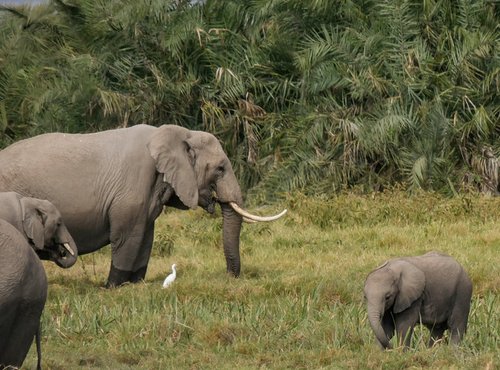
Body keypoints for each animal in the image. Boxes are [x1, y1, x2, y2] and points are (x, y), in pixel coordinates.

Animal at [0, 124, 286, 286]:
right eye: (220, 169)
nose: (229, 278)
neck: (178, 133)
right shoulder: (132, 188)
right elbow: (129, 236)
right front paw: (114, 287)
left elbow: (146, 236)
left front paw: (136, 284)